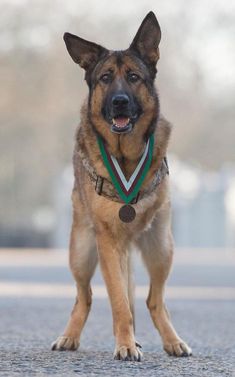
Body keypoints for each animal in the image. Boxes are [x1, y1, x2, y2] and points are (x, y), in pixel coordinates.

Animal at [52, 11, 192, 358]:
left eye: (133, 77)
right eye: (104, 78)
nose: (119, 102)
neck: (126, 157)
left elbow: (134, 301)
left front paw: (131, 341)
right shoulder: (106, 241)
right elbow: (118, 302)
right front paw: (125, 344)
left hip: (161, 247)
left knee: (154, 299)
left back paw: (172, 340)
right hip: (82, 250)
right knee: (84, 296)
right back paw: (71, 335)